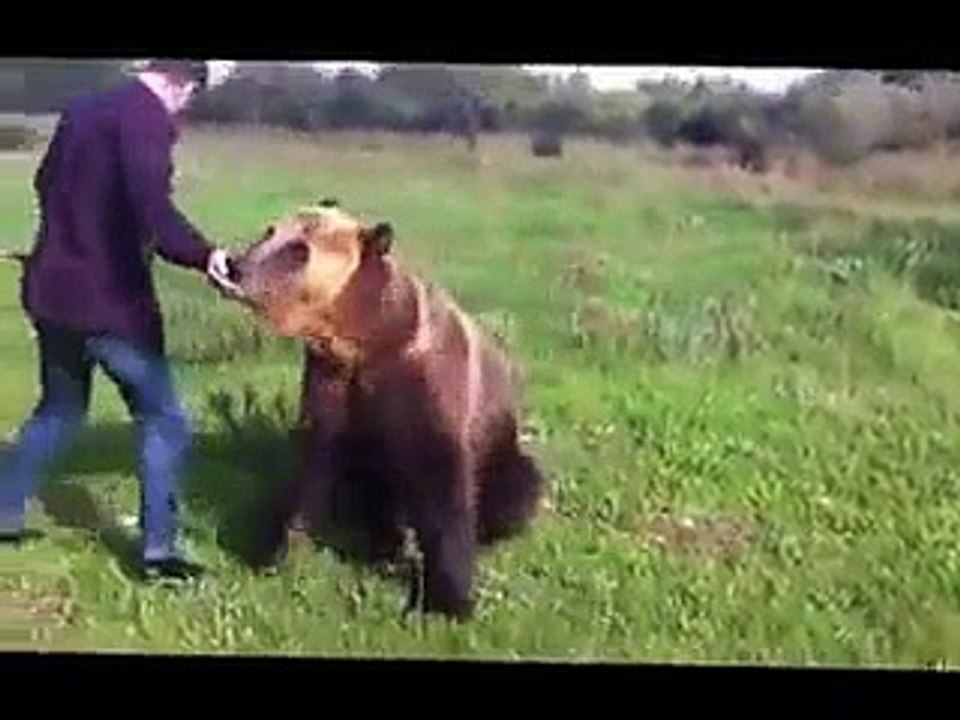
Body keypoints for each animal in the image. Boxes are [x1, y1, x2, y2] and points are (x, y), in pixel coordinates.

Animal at [226, 199, 547, 621]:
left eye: (298, 250)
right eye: (270, 231)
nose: (235, 264)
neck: (359, 338)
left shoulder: (421, 377)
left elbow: (442, 484)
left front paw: (447, 599)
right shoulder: (331, 381)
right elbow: (315, 463)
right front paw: (278, 553)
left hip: (502, 453)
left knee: (516, 489)